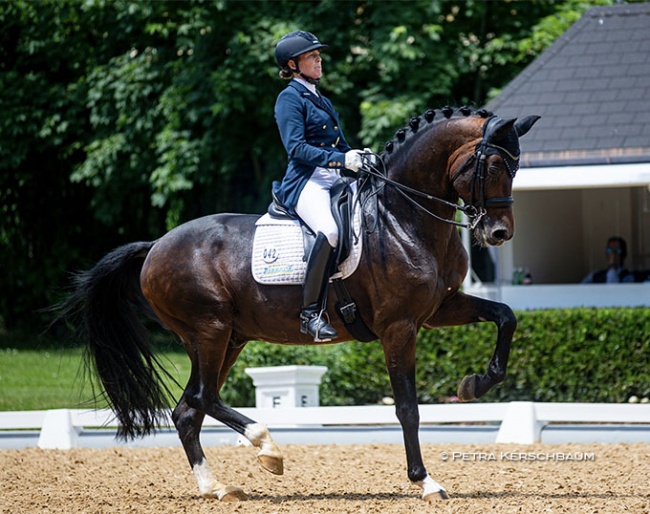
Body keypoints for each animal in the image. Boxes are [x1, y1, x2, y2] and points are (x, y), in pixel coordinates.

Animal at [58, 106, 536, 502]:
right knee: (201, 398)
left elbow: (506, 316)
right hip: (210, 330)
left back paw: (217, 486)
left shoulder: (438, 311)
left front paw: (475, 384)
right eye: (494, 165)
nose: (499, 233)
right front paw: (426, 482)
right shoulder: (398, 327)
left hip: (227, 339)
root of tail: (155, 246)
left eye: (515, 167)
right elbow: (407, 408)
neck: (402, 218)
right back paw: (267, 448)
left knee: (188, 409)